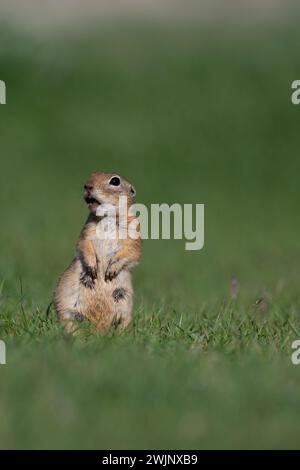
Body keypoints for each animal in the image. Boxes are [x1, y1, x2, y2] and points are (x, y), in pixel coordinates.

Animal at [54, 173, 142, 334]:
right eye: (92, 175)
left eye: (115, 180)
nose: (87, 186)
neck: (107, 217)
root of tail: (99, 331)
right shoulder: (87, 230)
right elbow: (84, 244)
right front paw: (92, 268)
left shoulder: (134, 231)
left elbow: (132, 251)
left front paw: (111, 270)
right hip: (67, 310)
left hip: (124, 305)